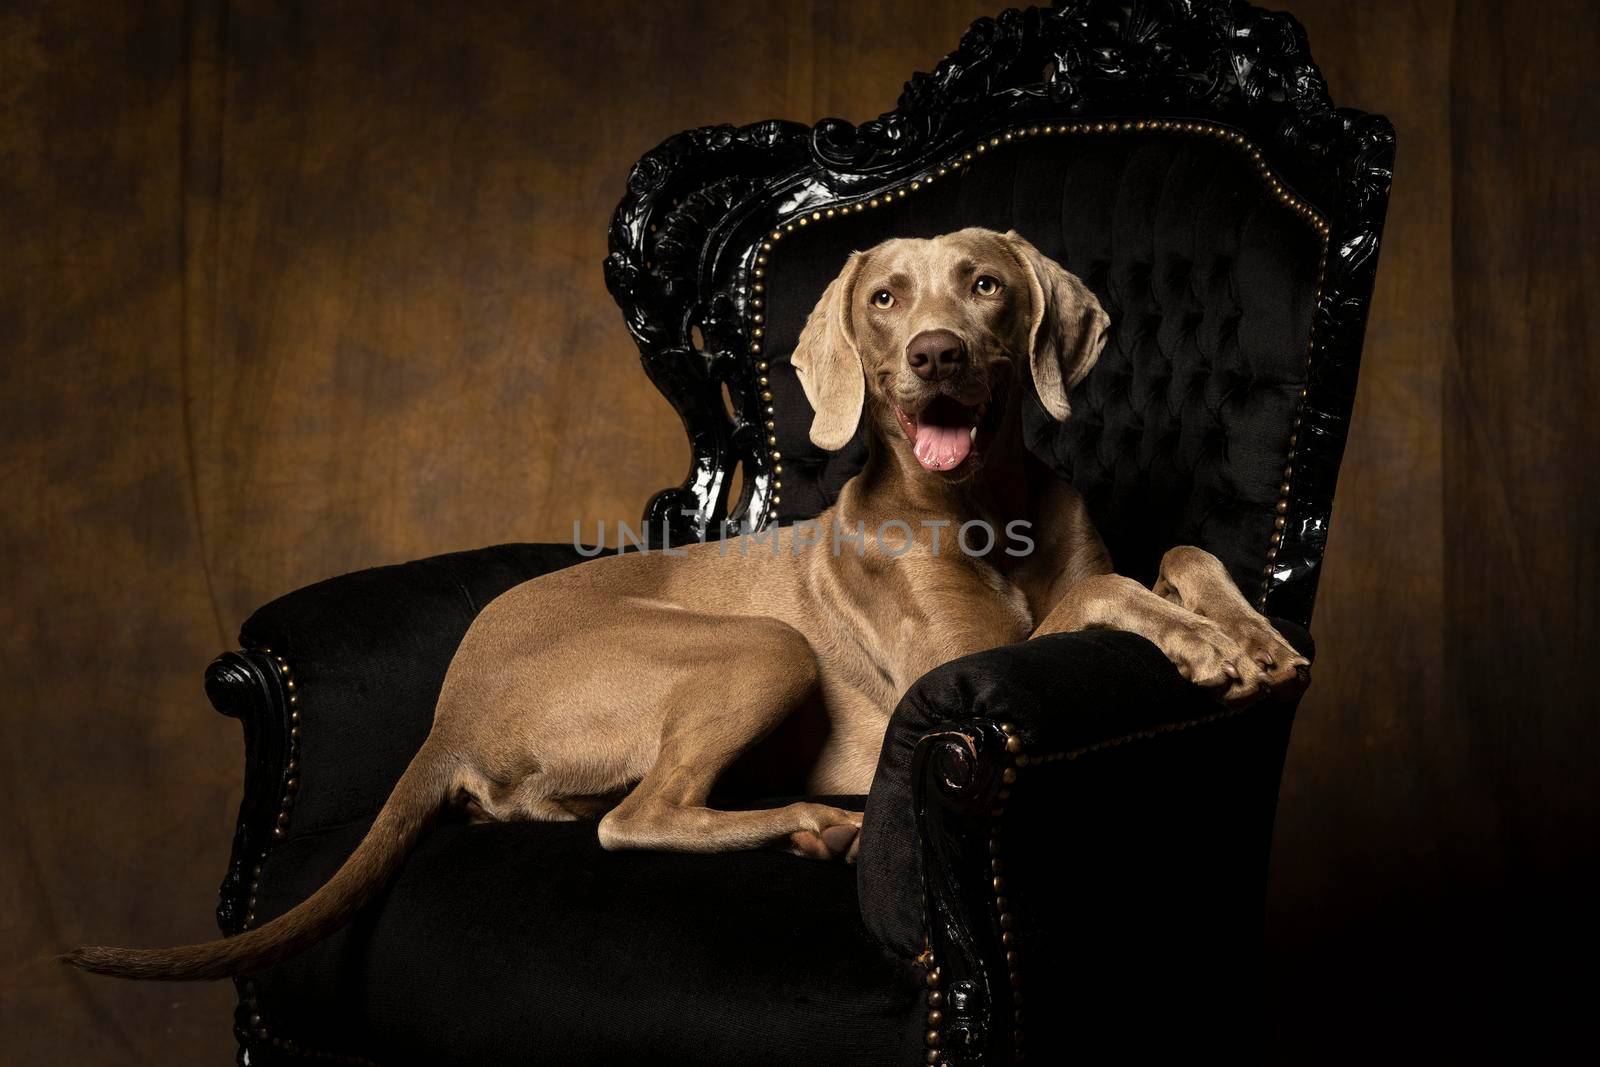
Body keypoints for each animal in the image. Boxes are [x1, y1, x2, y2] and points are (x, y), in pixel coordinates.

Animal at [68, 230, 1305, 979]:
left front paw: (1248, 627)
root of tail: (447, 711)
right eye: (884, 297)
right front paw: (1203, 644)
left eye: (986, 285)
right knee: (635, 818)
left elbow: (1176, 546)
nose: (934, 354)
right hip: (758, 644)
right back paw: (813, 821)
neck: (986, 506)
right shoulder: (939, 668)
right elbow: (1103, 587)